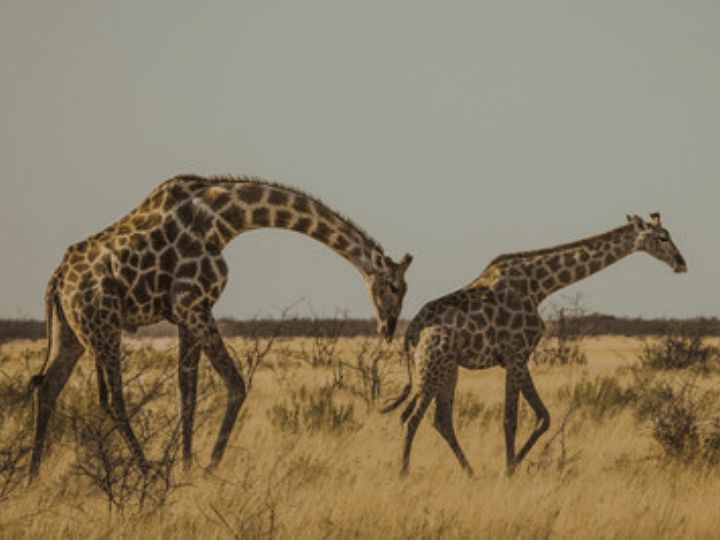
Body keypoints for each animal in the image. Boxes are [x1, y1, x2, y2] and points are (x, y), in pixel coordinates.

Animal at [29, 174, 412, 477]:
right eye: (394, 286)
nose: (389, 327)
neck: (225, 219)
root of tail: (57, 281)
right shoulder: (193, 304)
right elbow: (236, 384)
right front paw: (209, 466)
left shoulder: (186, 313)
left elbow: (188, 391)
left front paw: (186, 465)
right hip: (104, 327)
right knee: (112, 399)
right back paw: (146, 470)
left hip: (70, 332)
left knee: (48, 387)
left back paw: (32, 476)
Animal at [382, 213, 686, 475]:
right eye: (662, 237)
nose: (681, 263)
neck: (539, 285)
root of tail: (411, 333)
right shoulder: (515, 353)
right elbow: (510, 419)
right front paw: (508, 471)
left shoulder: (519, 357)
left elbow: (544, 416)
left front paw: (514, 464)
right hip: (432, 365)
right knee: (411, 418)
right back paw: (404, 472)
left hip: (448, 368)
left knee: (440, 420)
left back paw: (470, 472)